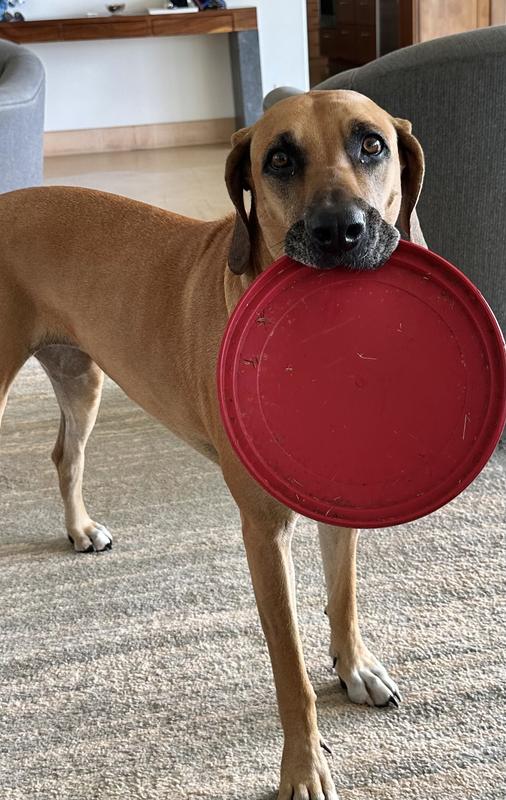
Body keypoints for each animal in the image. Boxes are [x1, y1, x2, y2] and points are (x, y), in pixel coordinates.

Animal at [1, 90, 424, 796]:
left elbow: (343, 596)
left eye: (372, 144)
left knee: (66, 456)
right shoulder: (263, 532)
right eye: (278, 158)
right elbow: (291, 674)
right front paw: (303, 767)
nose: (340, 231)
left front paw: (354, 666)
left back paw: (79, 528)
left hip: (80, 375)